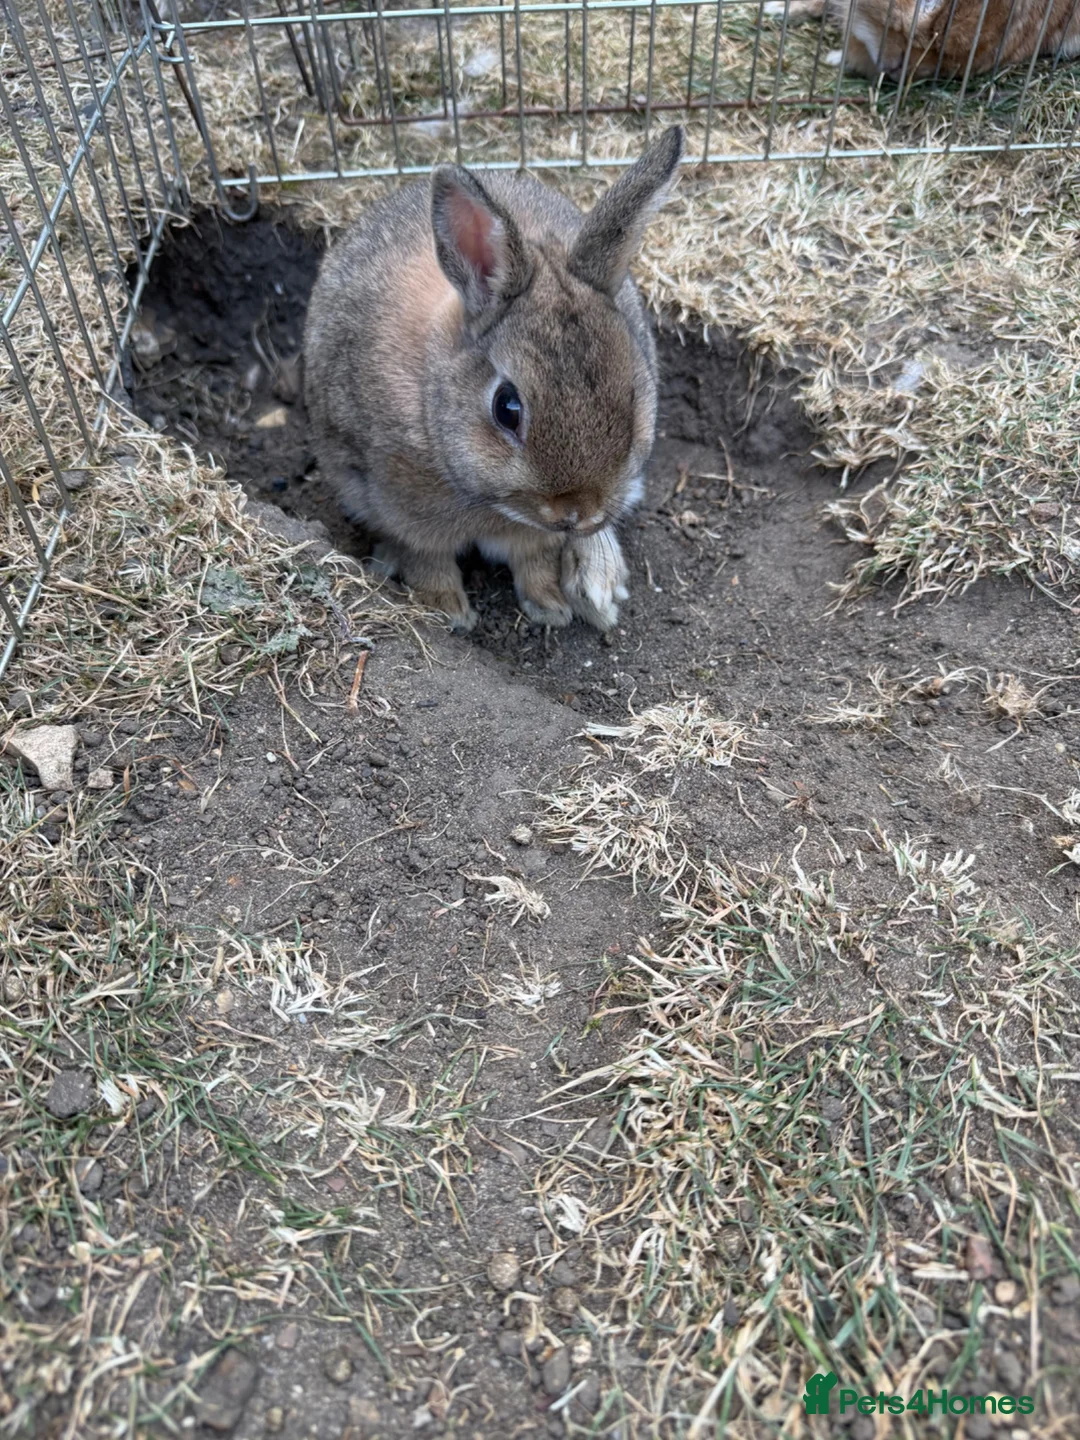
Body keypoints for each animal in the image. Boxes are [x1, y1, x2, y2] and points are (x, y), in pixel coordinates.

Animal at [303, 127, 683, 634]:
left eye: (635, 399)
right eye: (507, 408)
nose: (576, 513)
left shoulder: (536, 535)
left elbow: (534, 559)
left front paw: (549, 606)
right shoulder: (401, 509)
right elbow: (427, 557)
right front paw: (446, 611)